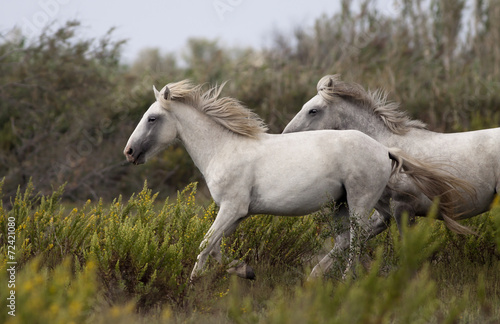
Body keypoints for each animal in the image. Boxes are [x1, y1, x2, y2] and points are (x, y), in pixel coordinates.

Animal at [125, 79, 468, 280]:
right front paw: (244, 271)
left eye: (152, 118)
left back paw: (347, 281)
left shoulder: (232, 208)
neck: (225, 148)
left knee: (356, 240)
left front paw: (194, 283)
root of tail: (384, 149)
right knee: (354, 235)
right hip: (347, 203)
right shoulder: (235, 214)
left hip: (358, 203)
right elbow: (217, 248)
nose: (129, 152)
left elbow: (205, 243)